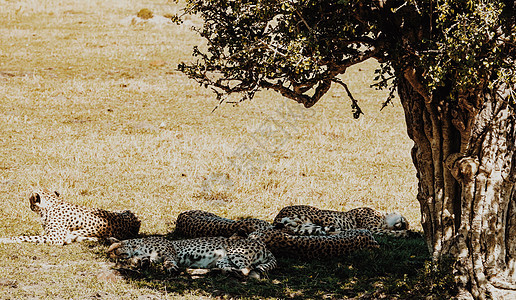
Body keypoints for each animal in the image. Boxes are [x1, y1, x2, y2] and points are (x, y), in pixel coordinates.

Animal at [0, 191, 141, 245]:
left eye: (30, 200)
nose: (29, 206)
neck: (52, 204)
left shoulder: (54, 238)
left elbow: (25, 237)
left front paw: (6, 239)